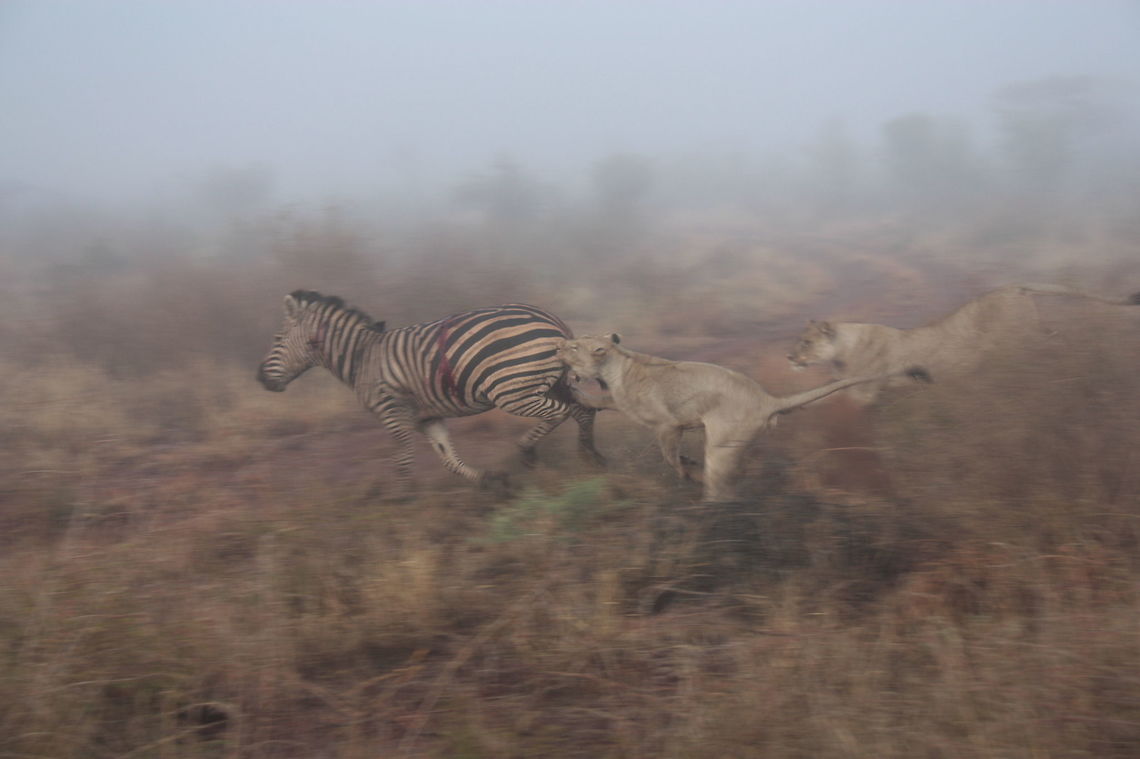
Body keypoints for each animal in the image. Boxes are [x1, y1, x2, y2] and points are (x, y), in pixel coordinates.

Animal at [256, 290, 605, 491]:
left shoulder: (393, 412)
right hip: (553, 383)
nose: (260, 379)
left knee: (560, 413)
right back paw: (591, 458)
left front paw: (403, 502)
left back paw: (530, 452)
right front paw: (490, 480)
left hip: (511, 390)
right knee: (582, 411)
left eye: (277, 340)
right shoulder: (428, 417)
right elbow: (447, 458)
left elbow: (403, 459)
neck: (362, 357)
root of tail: (552, 320)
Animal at [556, 334, 930, 502]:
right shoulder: (622, 402)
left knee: (722, 486)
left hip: (720, 446)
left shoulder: (667, 425)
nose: (559, 346)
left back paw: (710, 507)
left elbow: (669, 456)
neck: (614, 367)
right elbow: (601, 399)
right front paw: (574, 392)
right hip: (738, 445)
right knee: (746, 470)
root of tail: (766, 399)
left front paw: (685, 471)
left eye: (574, 346)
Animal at [788, 284, 1140, 405]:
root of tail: (1015, 287)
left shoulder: (864, 392)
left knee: (1049, 346)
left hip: (1022, 338)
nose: (789, 357)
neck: (841, 352)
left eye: (805, 342)